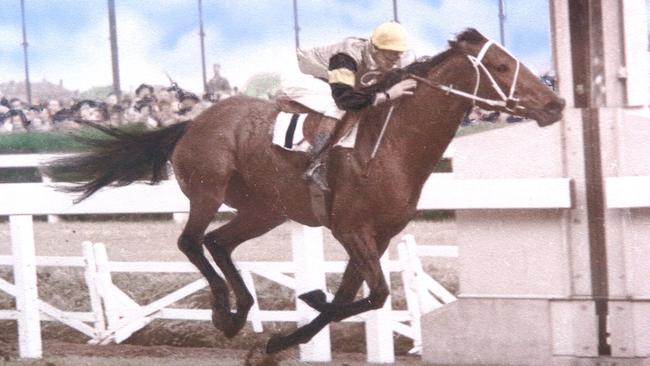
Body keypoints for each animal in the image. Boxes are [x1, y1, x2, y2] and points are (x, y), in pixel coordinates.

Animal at [53, 29, 564, 354]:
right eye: (502, 65)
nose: (556, 103)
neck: (392, 144)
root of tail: (193, 122)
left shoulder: (378, 236)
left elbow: (356, 298)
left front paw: (282, 339)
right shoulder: (350, 228)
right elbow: (372, 295)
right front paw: (304, 309)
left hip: (266, 210)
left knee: (218, 242)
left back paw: (240, 311)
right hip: (207, 190)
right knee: (191, 241)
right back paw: (223, 313)